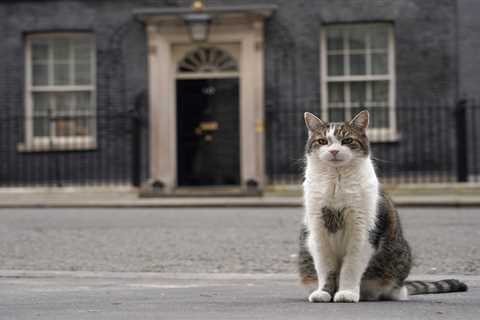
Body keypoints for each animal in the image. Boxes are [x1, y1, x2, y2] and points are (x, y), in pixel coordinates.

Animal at [298, 110, 466, 302]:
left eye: (347, 140)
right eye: (322, 141)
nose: (334, 151)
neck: (336, 180)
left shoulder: (363, 230)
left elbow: (351, 266)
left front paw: (347, 292)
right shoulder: (318, 231)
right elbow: (326, 268)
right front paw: (324, 292)